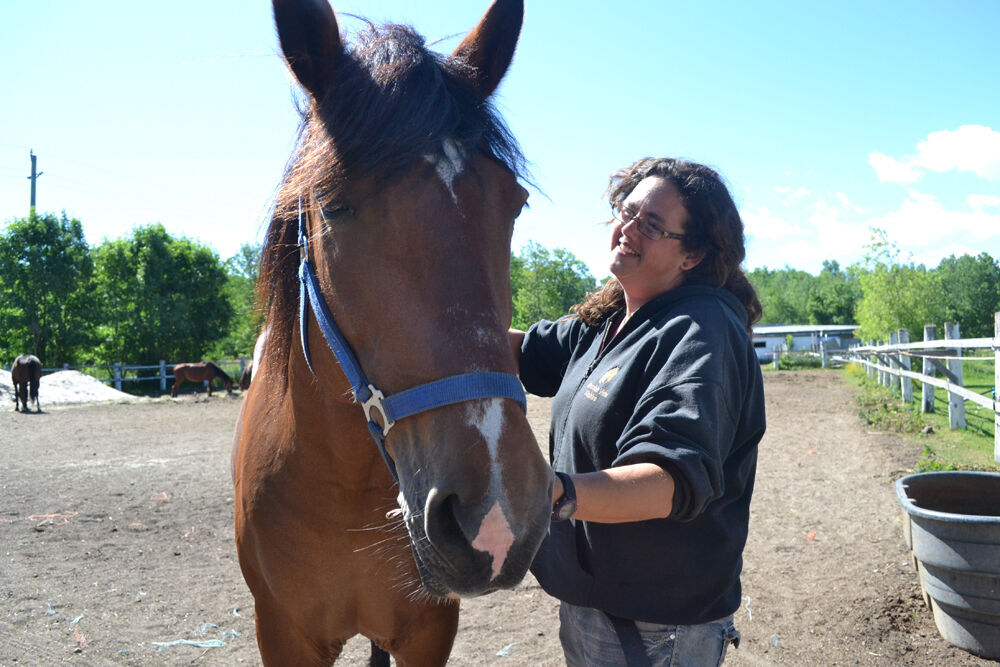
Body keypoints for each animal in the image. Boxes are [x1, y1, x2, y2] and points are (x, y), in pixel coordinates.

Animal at [232, 0, 552, 664]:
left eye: (513, 203)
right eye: (333, 206)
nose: (497, 513)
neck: (343, 488)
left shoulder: (429, 630)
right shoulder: (281, 632)